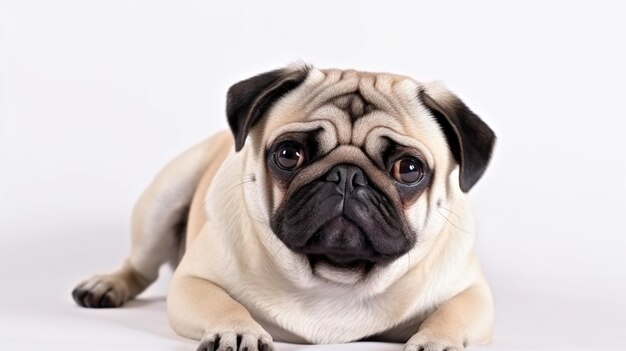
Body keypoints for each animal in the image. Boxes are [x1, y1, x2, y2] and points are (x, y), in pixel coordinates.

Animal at [70, 65, 494, 351]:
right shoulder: (193, 282)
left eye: (408, 169)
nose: (347, 176)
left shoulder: (472, 294)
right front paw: (237, 330)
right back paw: (106, 285)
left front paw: (437, 341)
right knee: (139, 265)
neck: (337, 275)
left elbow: (451, 314)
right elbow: (220, 301)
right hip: (163, 199)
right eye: (289, 154)